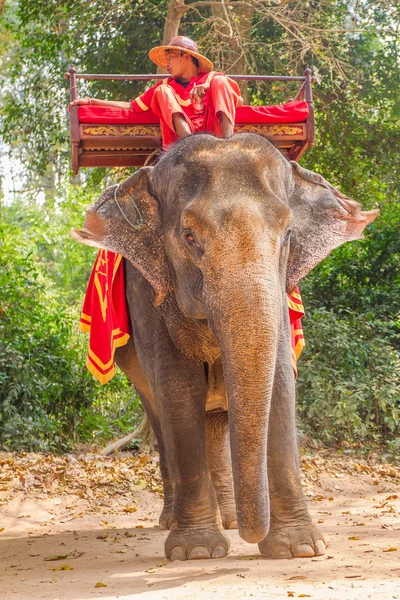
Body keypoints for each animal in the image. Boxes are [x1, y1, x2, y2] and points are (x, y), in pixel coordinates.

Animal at [72, 134, 378, 560]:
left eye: (287, 234)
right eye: (189, 237)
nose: (253, 538)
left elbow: (280, 381)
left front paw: (299, 548)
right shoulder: (147, 293)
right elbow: (179, 390)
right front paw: (198, 552)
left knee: (215, 424)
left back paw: (229, 519)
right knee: (161, 417)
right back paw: (177, 521)